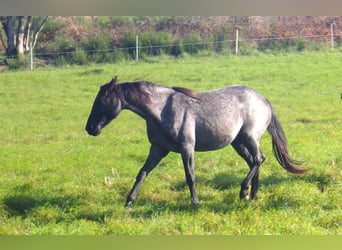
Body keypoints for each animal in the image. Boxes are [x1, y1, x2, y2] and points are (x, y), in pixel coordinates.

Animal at [85, 76, 308, 207]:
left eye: (102, 100)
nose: (90, 128)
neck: (161, 111)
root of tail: (264, 100)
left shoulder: (187, 148)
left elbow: (190, 176)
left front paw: (195, 202)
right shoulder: (158, 149)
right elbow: (142, 173)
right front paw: (129, 202)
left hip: (249, 137)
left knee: (259, 159)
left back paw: (243, 191)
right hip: (238, 142)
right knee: (254, 161)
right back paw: (251, 195)